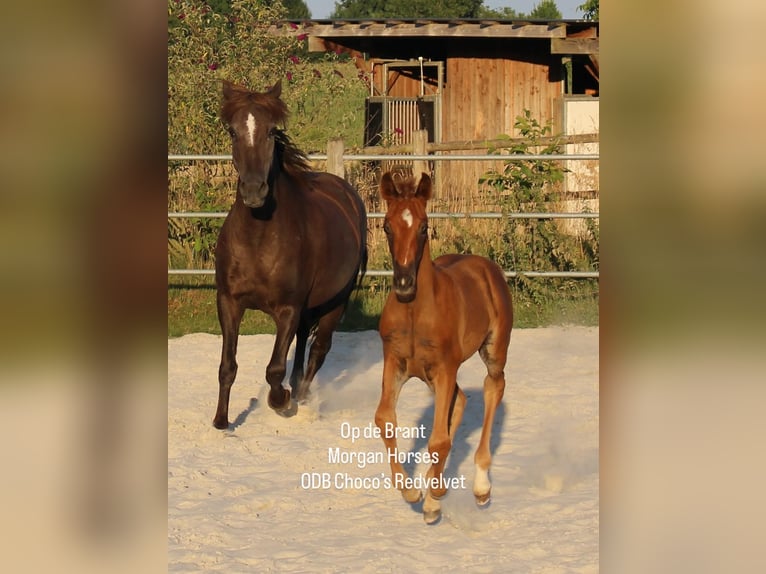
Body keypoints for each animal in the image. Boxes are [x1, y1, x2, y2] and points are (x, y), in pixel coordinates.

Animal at [212, 80, 367, 428]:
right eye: (232, 131)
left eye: (271, 131)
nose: (253, 191)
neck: (258, 239)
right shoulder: (229, 301)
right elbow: (228, 366)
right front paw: (222, 422)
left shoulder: (287, 309)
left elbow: (274, 370)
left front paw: (281, 402)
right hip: (309, 307)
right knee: (302, 348)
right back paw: (296, 391)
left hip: (335, 301)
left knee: (319, 350)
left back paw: (299, 398)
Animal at [374, 172, 513, 524]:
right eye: (386, 226)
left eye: (424, 226)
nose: (404, 284)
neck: (414, 311)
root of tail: (484, 265)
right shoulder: (394, 362)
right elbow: (385, 419)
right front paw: (412, 491)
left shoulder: (445, 366)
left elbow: (438, 439)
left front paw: (432, 493)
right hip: (429, 375)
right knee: (461, 400)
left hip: (493, 351)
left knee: (493, 388)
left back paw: (480, 487)